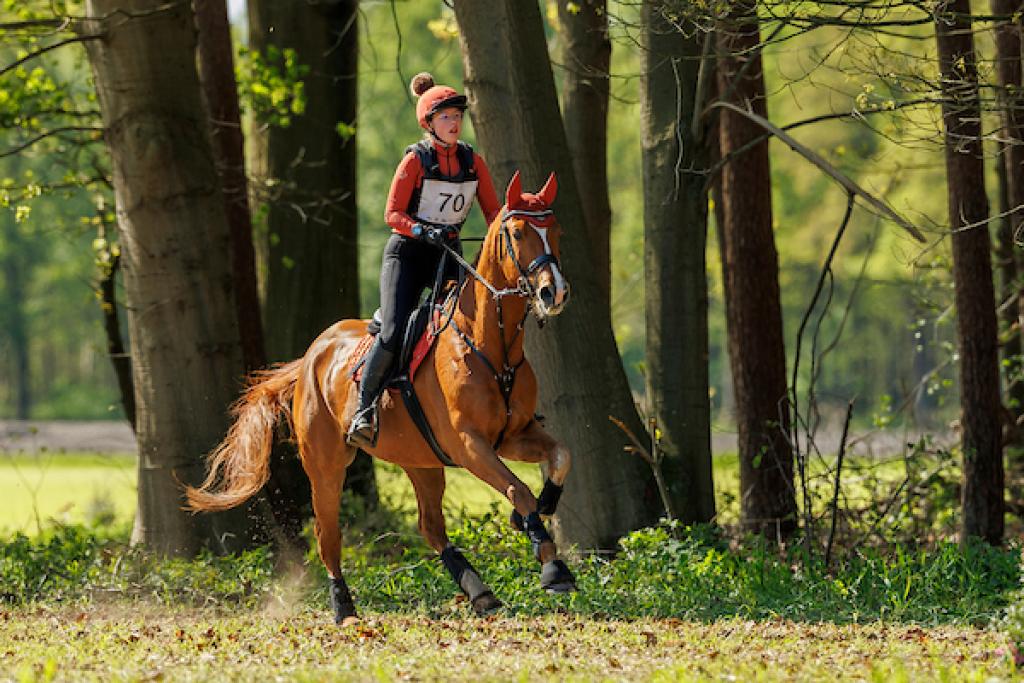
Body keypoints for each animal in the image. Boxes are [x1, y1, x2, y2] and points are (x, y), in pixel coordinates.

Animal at [186, 171, 576, 625]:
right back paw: (344, 609)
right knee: (328, 534)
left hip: (420, 459)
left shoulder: (513, 435)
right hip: (325, 464)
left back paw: (480, 593)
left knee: (431, 527)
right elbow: (518, 489)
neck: (488, 343)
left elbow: (560, 458)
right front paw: (553, 566)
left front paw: (537, 515)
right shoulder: (469, 445)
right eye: (517, 232)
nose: (554, 293)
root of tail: (312, 354)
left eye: (557, 230)